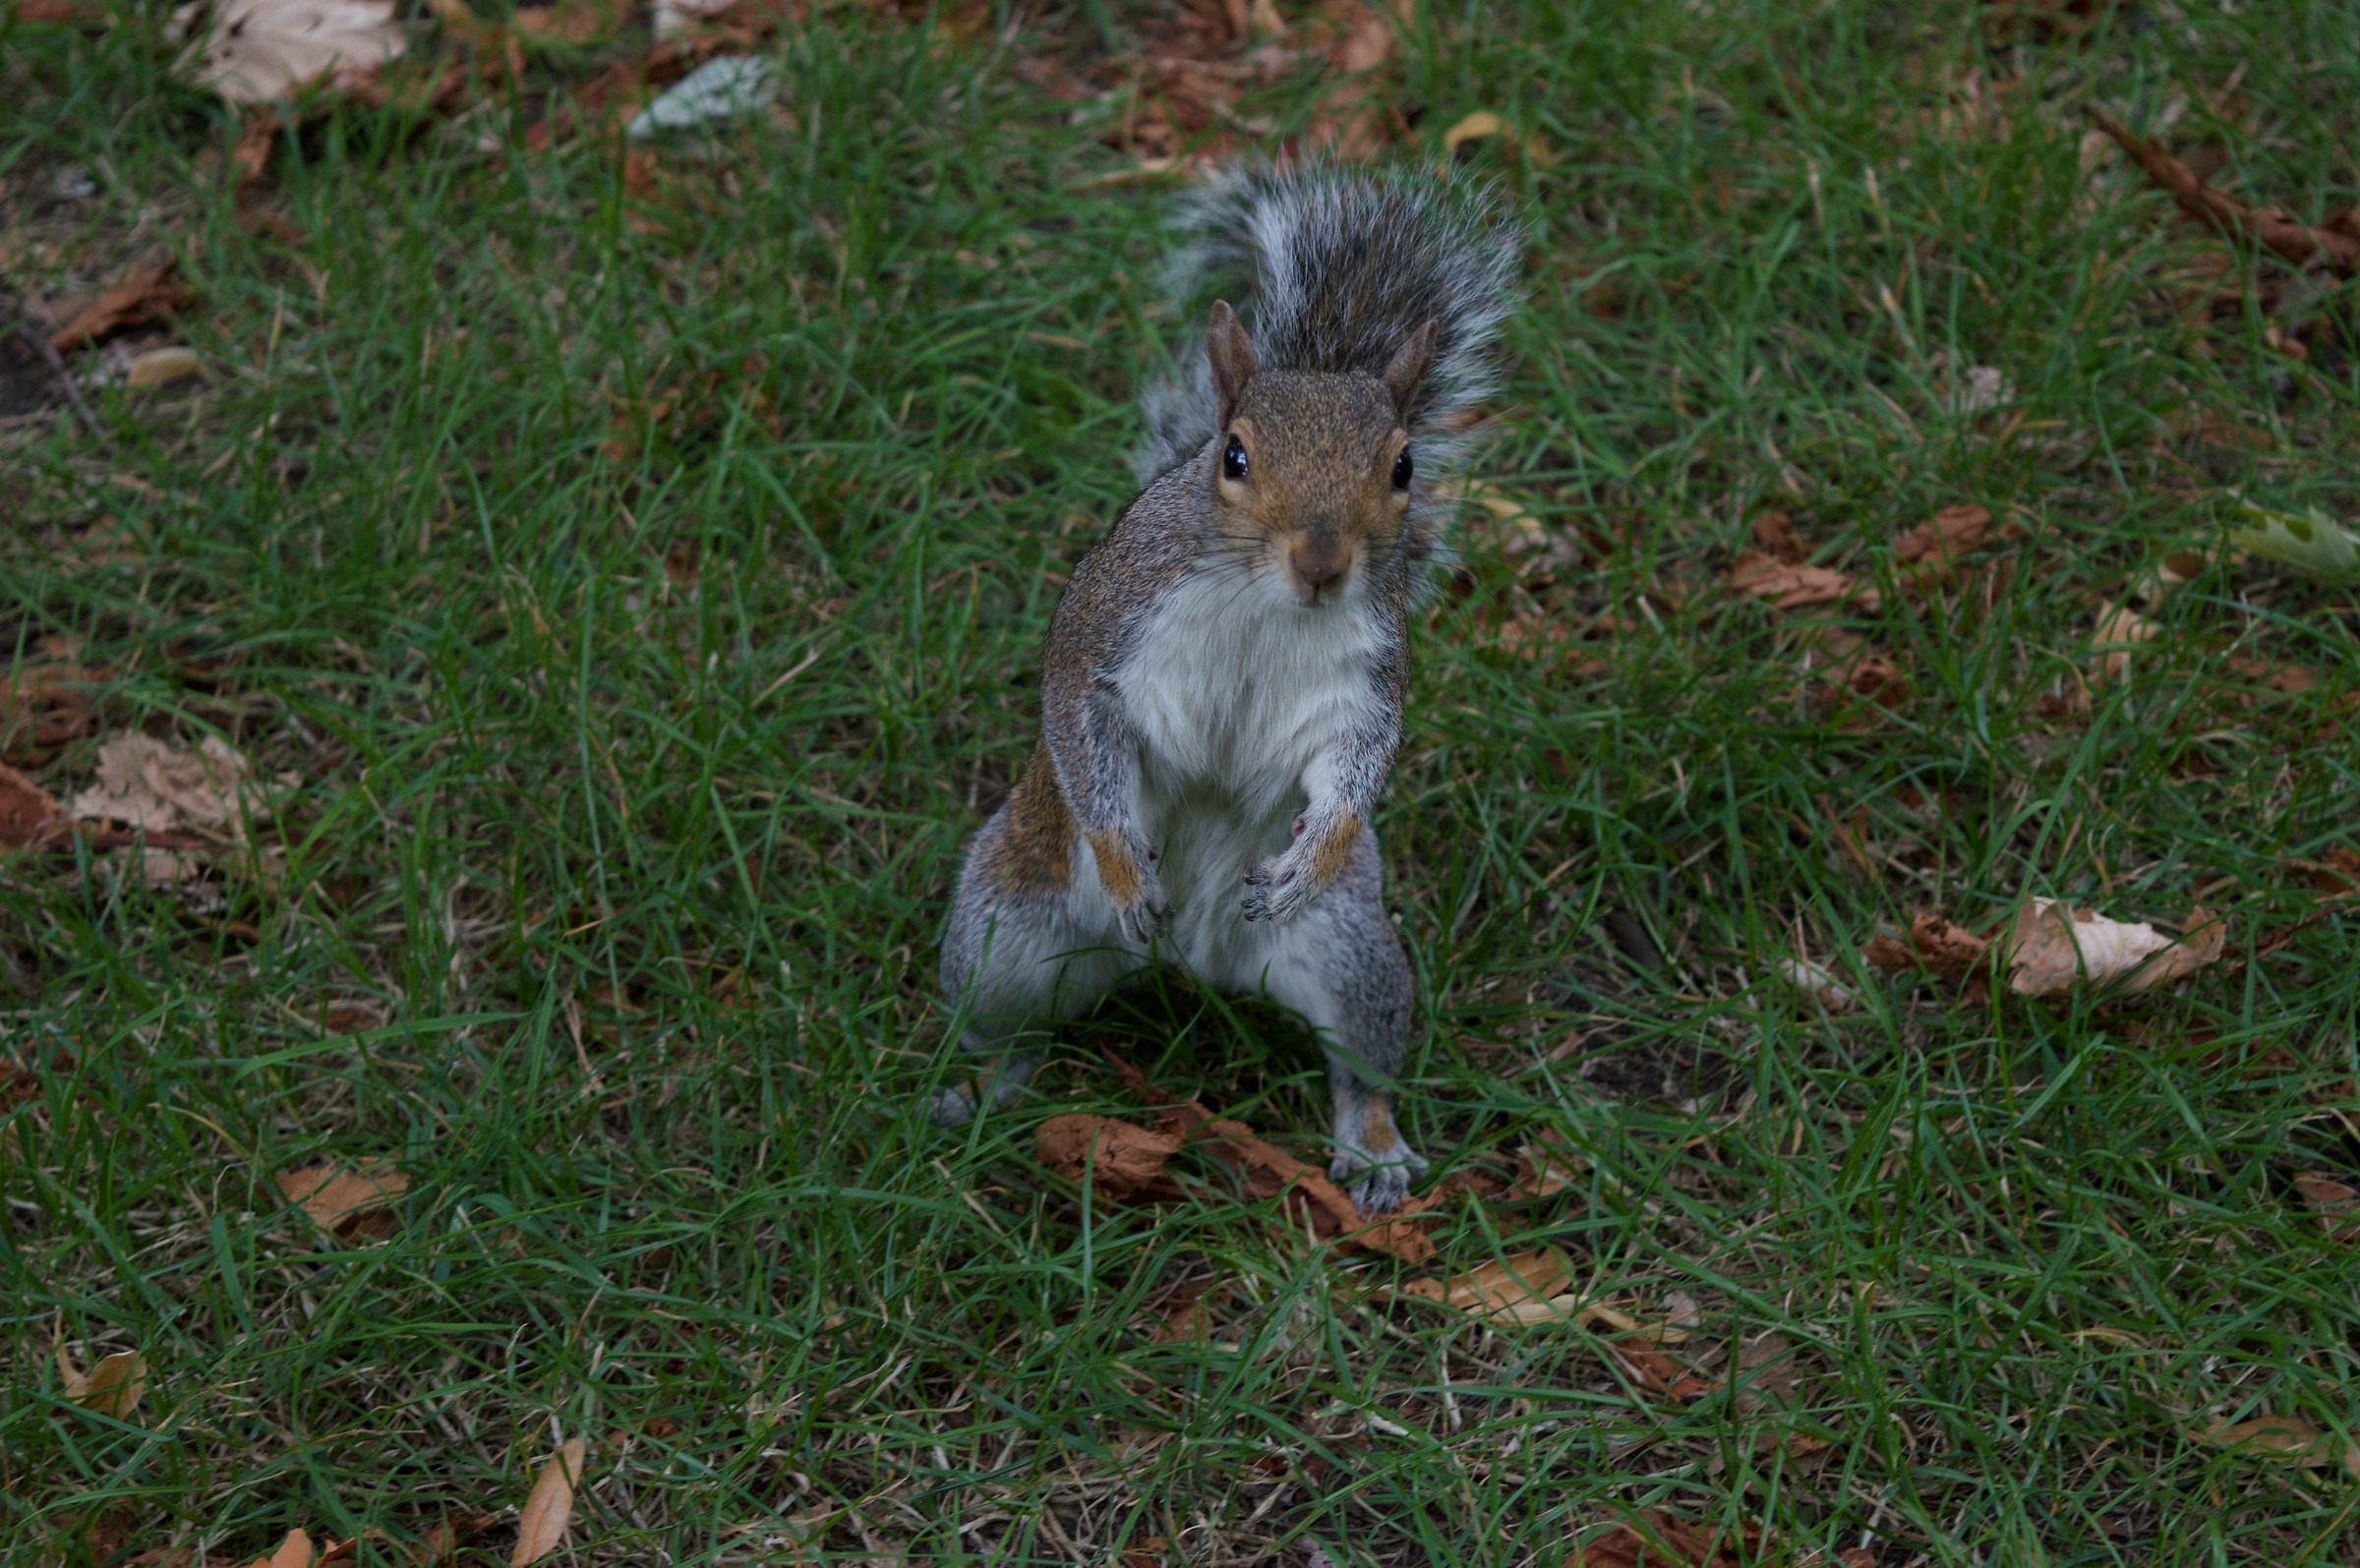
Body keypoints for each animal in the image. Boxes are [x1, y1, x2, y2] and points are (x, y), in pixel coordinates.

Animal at [936, 162, 1521, 1213]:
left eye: (1405, 465)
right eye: (1233, 456)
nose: (1323, 564)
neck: (1265, 600)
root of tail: (1193, 967)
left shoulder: (1367, 677)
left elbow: (1356, 764)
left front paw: (1314, 848)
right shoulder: (1103, 627)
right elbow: (1079, 724)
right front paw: (1125, 864)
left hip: (1353, 950)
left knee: (1360, 1059)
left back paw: (1374, 1146)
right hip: (1004, 926)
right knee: (1005, 1023)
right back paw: (985, 1080)